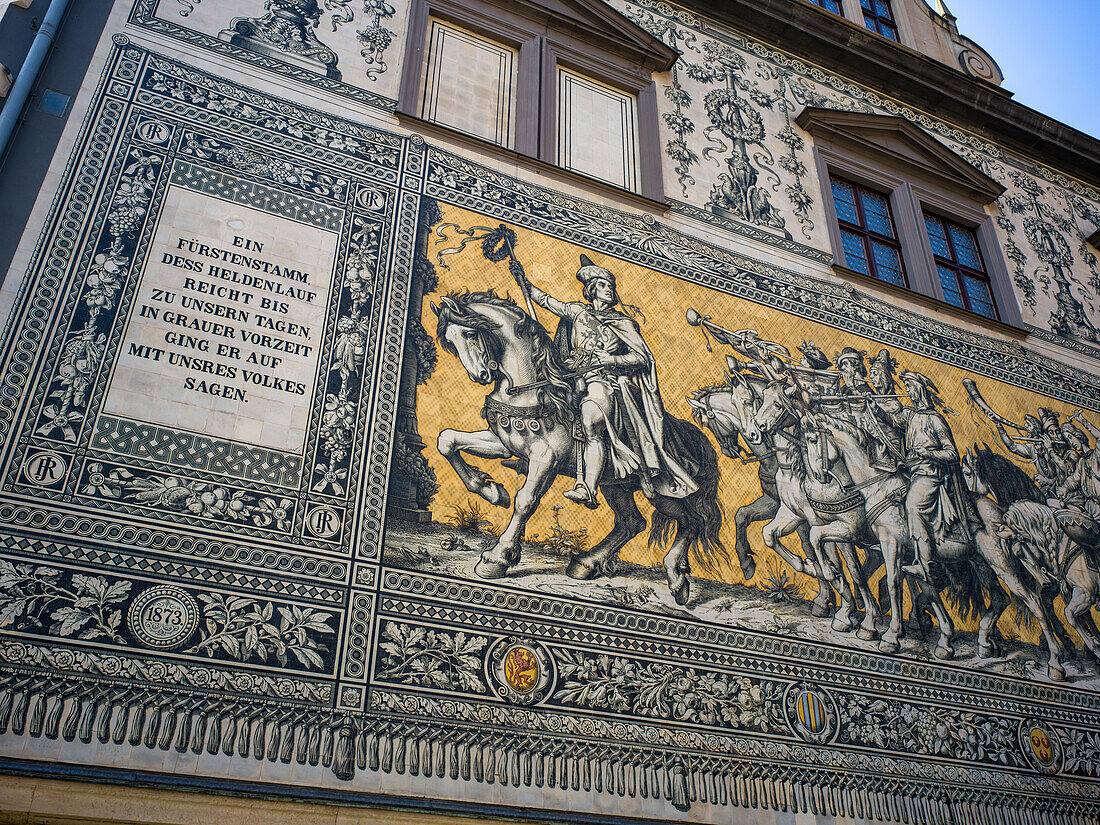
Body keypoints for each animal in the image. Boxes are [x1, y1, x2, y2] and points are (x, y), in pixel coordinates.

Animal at [433, 292, 726, 607]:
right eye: (450, 342)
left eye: (470, 333)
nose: (481, 375)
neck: (533, 390)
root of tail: (695, 436)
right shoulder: (502, 443)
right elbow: (447, 441)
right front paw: (491, 491)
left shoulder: (545, 460)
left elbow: (525, 500)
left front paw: (497, 558)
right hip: (617, 485)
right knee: (632, 523)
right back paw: (587, 563)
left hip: (660, 490)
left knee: (690, 521)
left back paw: (675, 577)